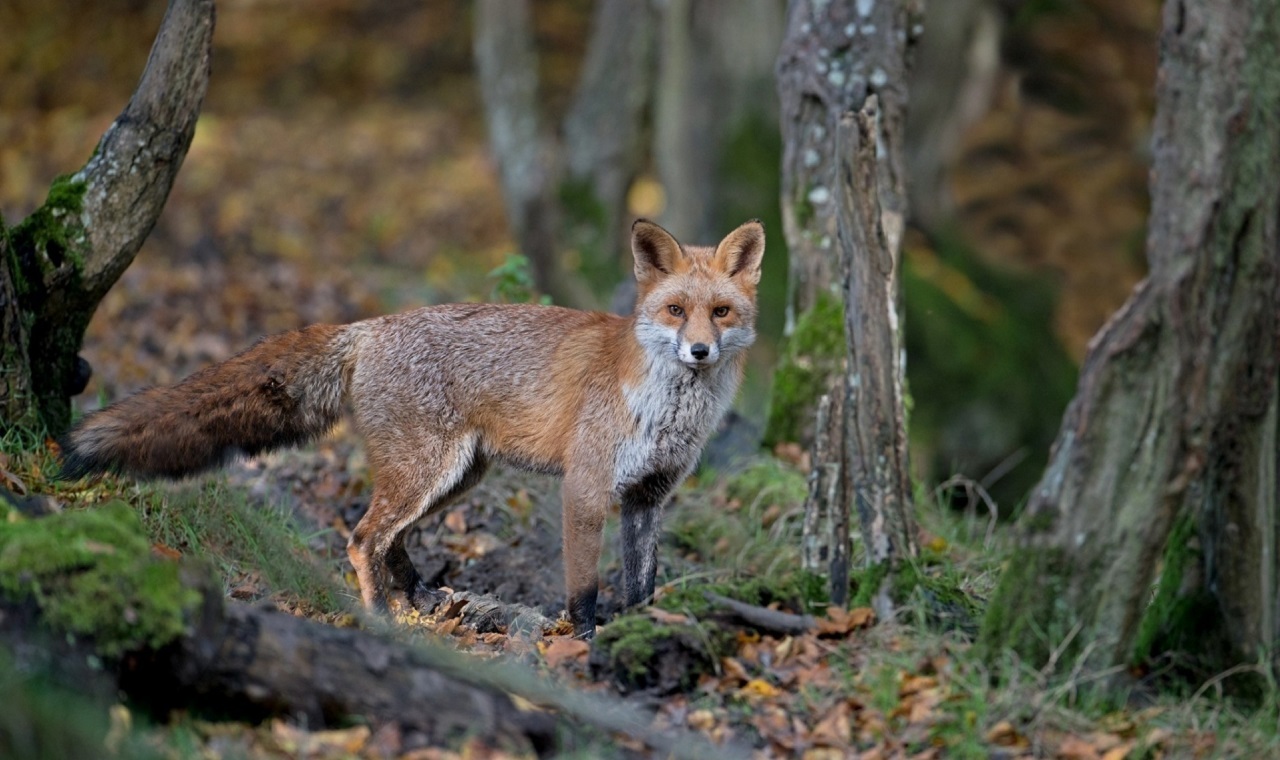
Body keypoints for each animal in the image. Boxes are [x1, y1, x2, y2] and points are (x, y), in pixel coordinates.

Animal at [60, 217, 762, 632]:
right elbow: (584, 589)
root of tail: (368, 326)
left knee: (389, 539)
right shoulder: (585, 489)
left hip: (454, 476)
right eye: (675, 311)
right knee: (361, 538)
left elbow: (643, 583)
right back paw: (383, 618)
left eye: (721, 313)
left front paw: (639, 633)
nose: (700, 352)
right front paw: (583, 643)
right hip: (429, 471)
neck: (665, 408)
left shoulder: (648, 496)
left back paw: (417, 596)